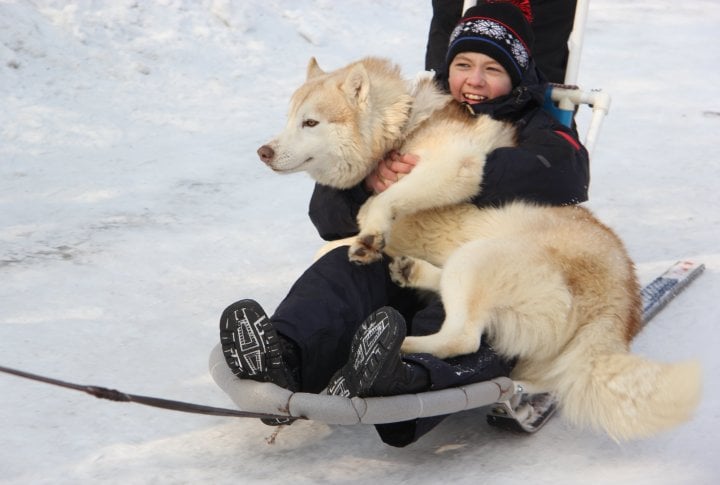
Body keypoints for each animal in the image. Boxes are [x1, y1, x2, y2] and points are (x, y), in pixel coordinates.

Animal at [256, 56, 700, 438]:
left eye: (310, 122)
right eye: (289, 118)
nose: (263, 151)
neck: (405, 127)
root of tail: (620, 301)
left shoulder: (455, 168)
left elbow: (377, 203)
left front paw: (372, 229)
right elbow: (334, 245)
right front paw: (368, 241)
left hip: (478, 259)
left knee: (461, 339)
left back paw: (392, 351)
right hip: (470, 268)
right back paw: (405, 275)